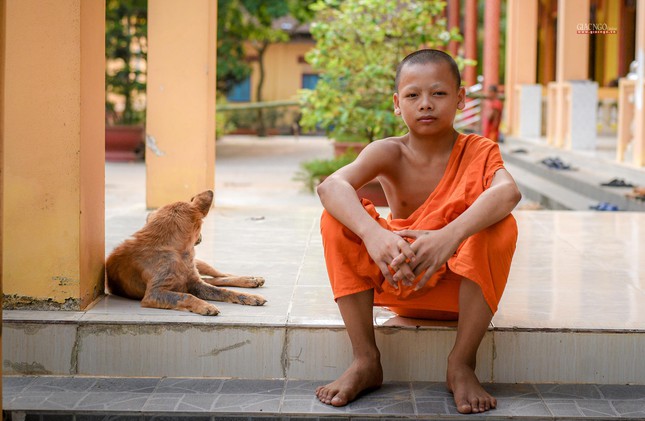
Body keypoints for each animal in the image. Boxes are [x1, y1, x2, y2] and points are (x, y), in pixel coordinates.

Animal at [105, 189, 266, 314]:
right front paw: (205, 306)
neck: (176, 251)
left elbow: (225, 291)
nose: (201, 238)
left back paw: (252, 279)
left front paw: (249, 297)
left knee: (222, 276)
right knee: (214, 280)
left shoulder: (197, 284)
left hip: (201, 265)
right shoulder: (154, 294)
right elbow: (186, 296)